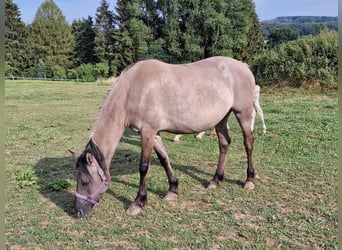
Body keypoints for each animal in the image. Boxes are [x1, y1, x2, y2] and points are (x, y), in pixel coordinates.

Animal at [74, 55, 256, 218]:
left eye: (85, 181)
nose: (78, 212)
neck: (133, 89)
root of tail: (244, 66)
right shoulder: (154, 134)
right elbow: (164, 159)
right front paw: (172, 190)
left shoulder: (147, 131)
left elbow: (144, 167)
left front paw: (138, 202)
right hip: (221, 119)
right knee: (224, 144)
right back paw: (215, 180)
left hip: (243, 114)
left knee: (248, 143)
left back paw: (249, 180)